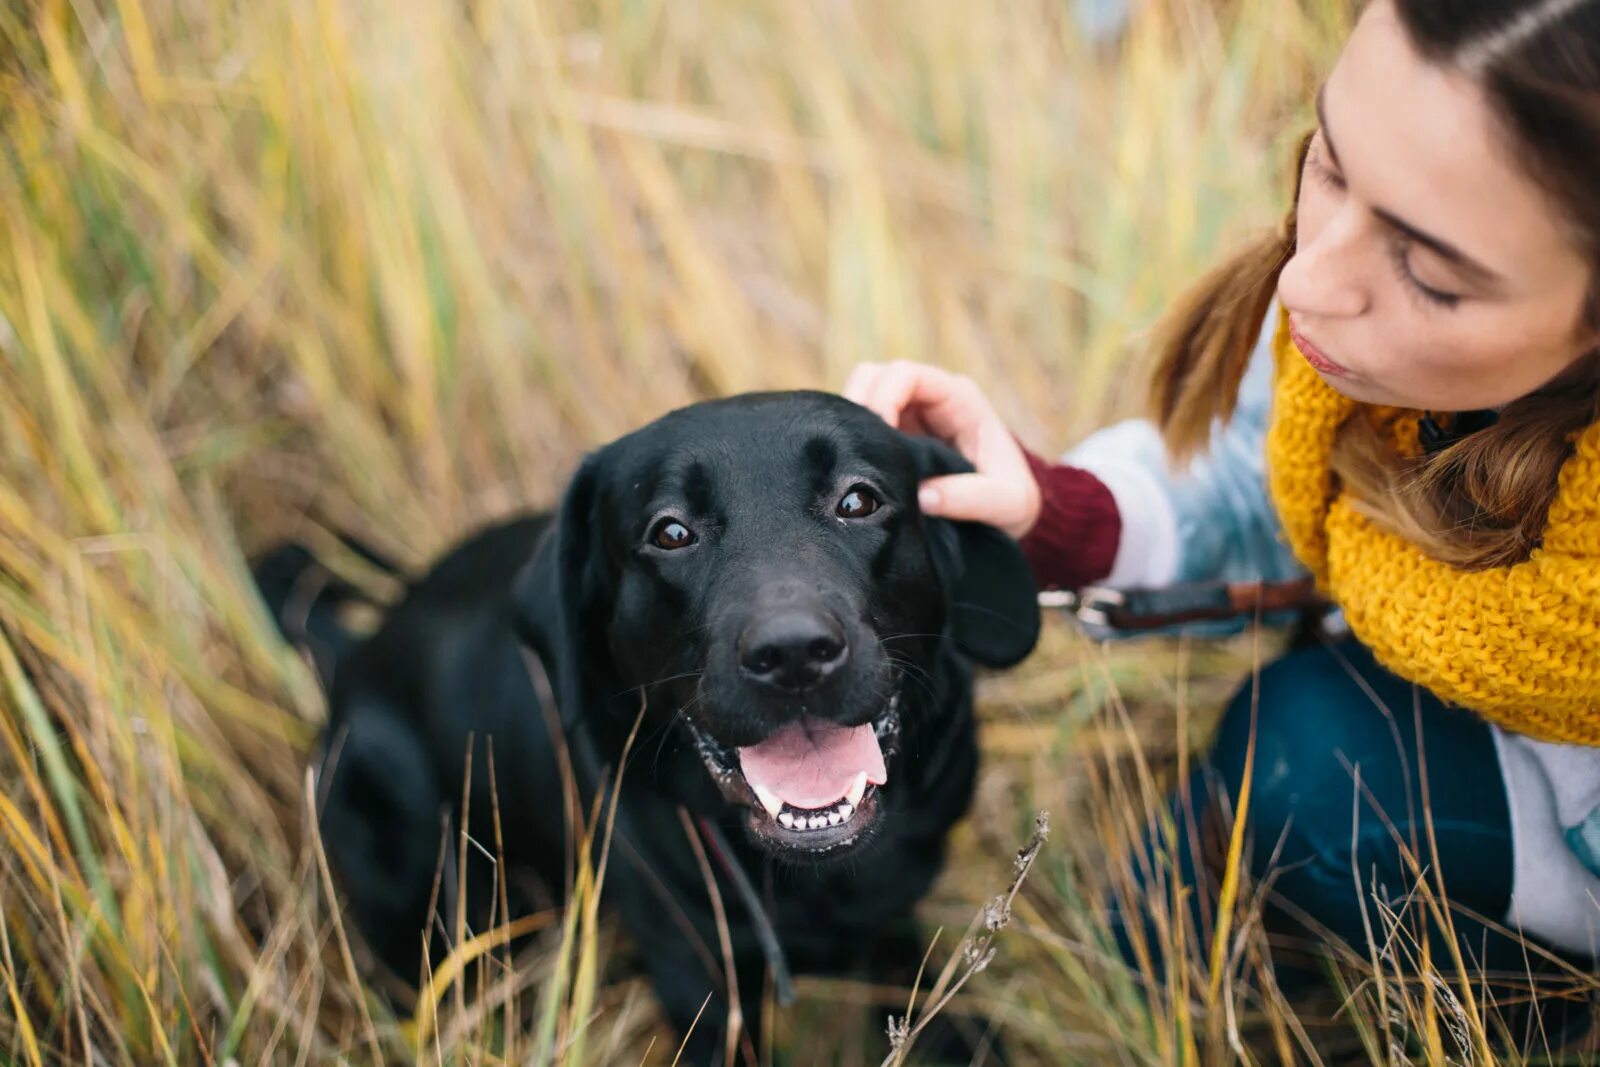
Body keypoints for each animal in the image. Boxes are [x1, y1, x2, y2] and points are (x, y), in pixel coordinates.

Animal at [256, 390, 1036, 1062]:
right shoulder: (699, 975)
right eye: (671, 533)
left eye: (858, 500)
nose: (792, 652)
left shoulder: (891, 917)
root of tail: (355, 651)